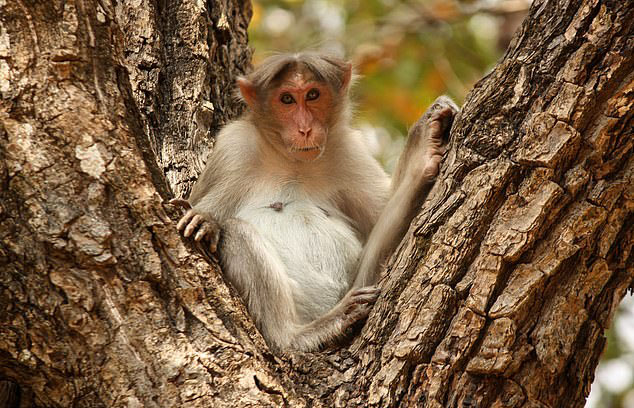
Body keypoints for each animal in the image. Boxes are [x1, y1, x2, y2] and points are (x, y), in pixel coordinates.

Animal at [170, 50, 456, 350]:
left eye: (313, 95)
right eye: (286, 99)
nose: (305, 129)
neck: (293, 161)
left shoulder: (348, 150)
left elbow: (380, 218)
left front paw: (424, 146)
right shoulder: (234, 147)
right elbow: (205, 208)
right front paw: (205, 219)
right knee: (236, 232)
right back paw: (300, 334)